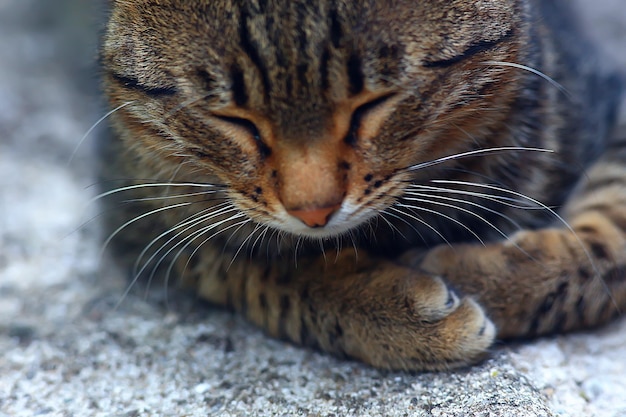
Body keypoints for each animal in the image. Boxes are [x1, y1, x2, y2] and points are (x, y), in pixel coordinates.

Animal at [98, 0, 624, 370]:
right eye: (233, 119)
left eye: (374, 103)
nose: (313, 210)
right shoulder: (143, 217)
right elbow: (267, 271)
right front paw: (395, 313)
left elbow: (605, 249)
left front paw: (483, 277)